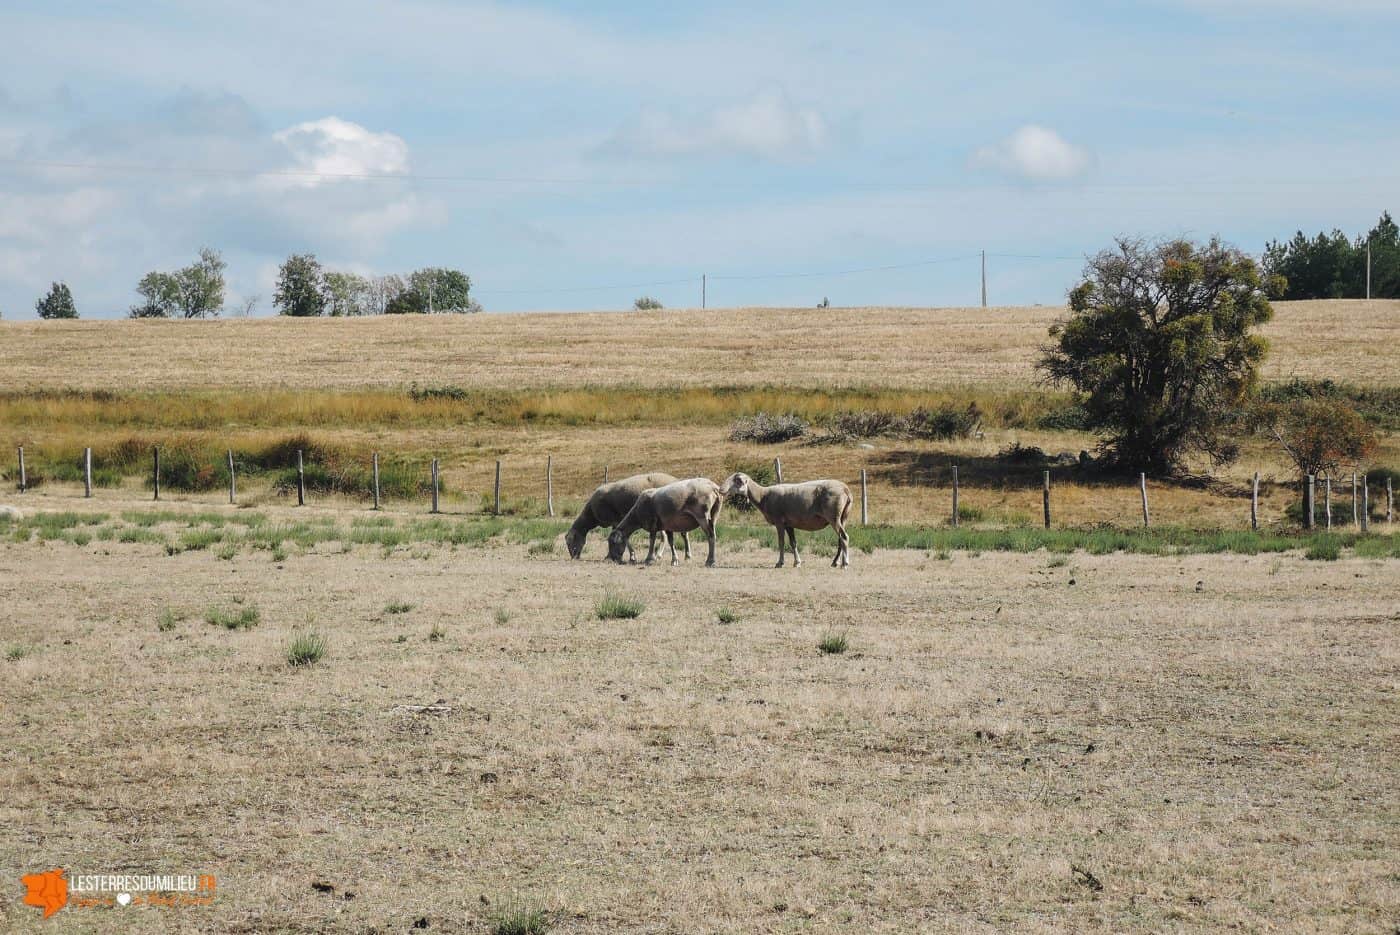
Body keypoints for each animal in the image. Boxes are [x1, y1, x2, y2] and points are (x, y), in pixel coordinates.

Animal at [722, 470, 851, 565]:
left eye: (738, 480)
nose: (721, 489)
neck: (762, 496)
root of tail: (846, 489)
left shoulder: (779, 522)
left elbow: (781, 542)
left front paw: (780, 562)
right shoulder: (789, 523)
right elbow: (793, 543)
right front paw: (797, 562)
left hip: (833, 516)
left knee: (844, 537)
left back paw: (845, 563)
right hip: (842, 517)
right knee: (840, 539)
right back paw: (835, 562)